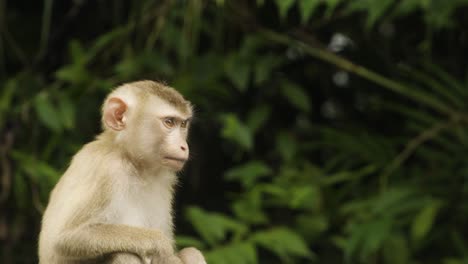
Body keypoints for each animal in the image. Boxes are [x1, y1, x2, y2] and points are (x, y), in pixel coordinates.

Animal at [39, 81, 207, 264]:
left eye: (183, 124)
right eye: (169, 122)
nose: (183, 146)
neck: (134, 163)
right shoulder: (108, 170)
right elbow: (64, 239)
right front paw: (161, 246)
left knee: (191, 252)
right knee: (123, 254)